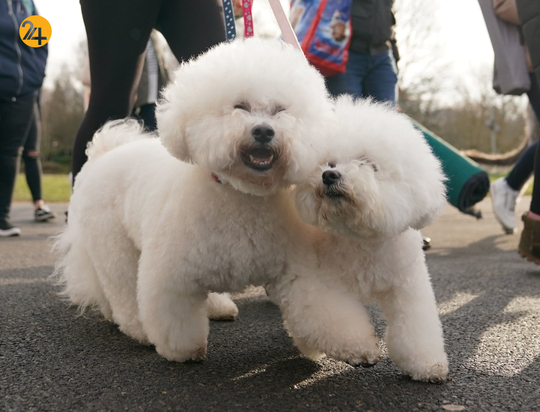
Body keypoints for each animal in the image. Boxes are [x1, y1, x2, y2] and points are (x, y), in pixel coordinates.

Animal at [54, 37, 334, 360]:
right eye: (239, 106)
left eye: (280, 111)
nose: (264, 131)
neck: (239, 194)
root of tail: (105, 152)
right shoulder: (170, 276)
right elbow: (176, 318)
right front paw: (183, 350)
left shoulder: (294, 268)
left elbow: (315, 305)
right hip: (113, 246)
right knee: (121, 288)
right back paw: (135, 327)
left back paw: (217, 306)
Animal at [272, 97, 450, 384]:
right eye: (330, 162)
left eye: (369, 164)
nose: (329, 175)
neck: (361, 239)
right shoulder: (318, 283)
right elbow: (330, 317)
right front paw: (361, 350)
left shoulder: (407, 284)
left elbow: (415, 326)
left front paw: (427, 365)